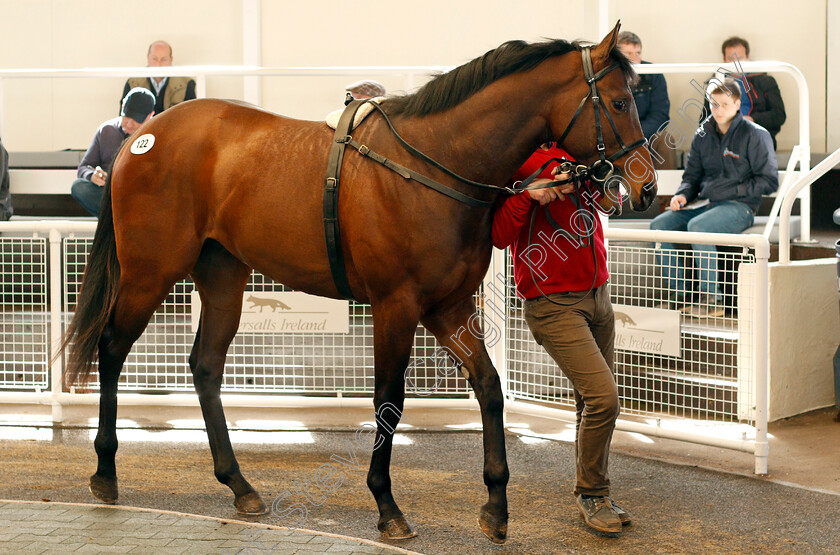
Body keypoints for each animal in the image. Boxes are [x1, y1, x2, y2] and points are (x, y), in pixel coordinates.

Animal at [64, 21, 656, 544]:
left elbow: (489, 387)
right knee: (112, 348)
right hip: (150, 272)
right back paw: (105, 472)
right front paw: (388, 507)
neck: (434, 164)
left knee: (205, 365)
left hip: (223, 275)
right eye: (619, 102)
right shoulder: (396, 307)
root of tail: (144, 136)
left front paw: (495, 507)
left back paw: (239, 486)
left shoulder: (449, 307)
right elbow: (388, 399)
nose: (645, 185)